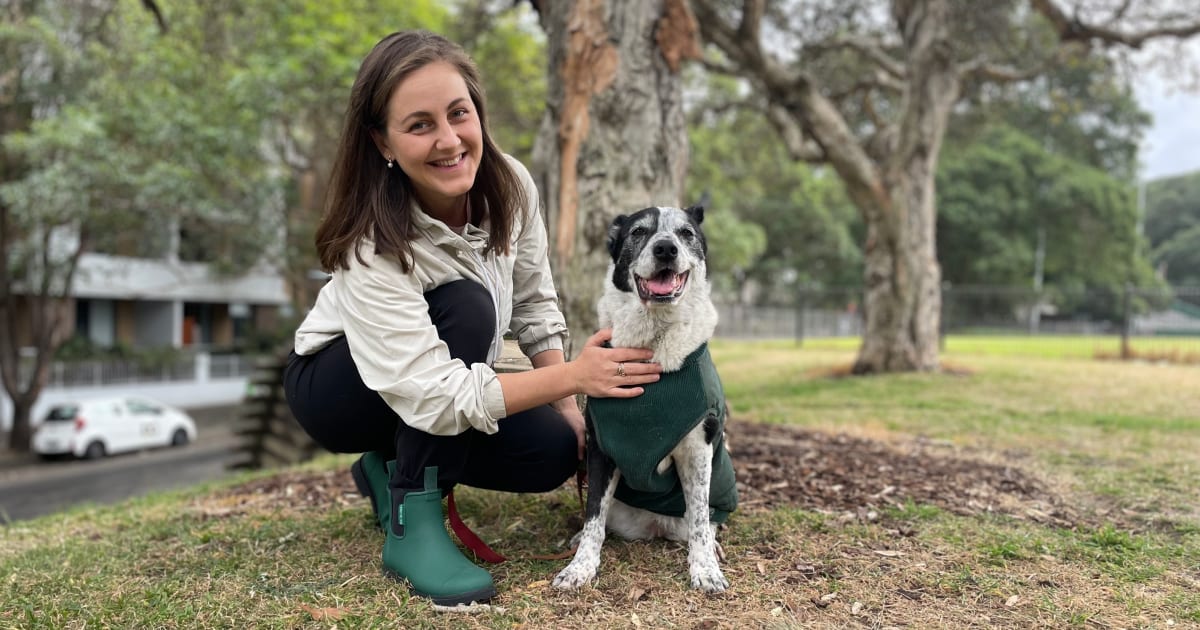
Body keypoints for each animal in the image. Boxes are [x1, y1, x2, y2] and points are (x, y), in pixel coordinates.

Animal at [549, 205, 734, 590]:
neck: (654, 344)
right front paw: (580, 567)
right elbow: (593, 516)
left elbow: (699, 520)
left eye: (685, 233)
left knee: (704, 523)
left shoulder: (698, 449)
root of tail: (655, 528)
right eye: (638, 232)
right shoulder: (601, 448)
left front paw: (706, 570)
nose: (666, 249)